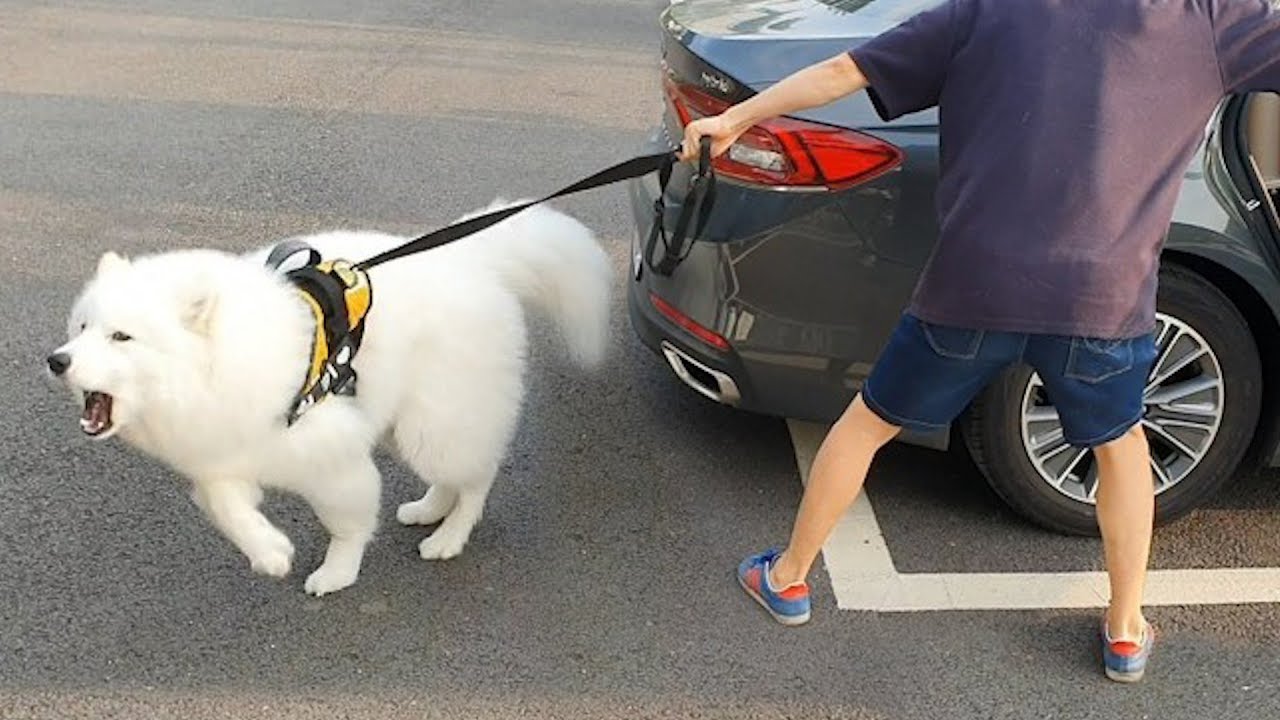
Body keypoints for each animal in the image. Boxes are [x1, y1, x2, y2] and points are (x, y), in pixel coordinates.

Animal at [47, 202, 611, 594]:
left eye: (122, 337)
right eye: (81, 328)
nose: (57, 360)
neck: (218, 367)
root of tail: (472, 257)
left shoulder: (333, 454)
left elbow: (348, 522)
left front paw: (337, 573)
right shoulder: (222, 453)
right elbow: (222, 505)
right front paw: (270, 552)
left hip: (434, 426)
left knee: (477, 478)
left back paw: (449, 537)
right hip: (409, 424)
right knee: (455, 476)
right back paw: (428, 509)